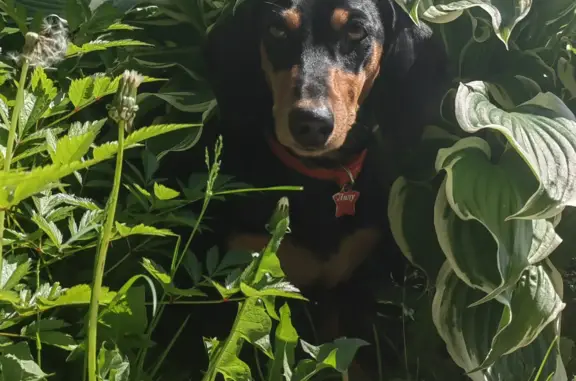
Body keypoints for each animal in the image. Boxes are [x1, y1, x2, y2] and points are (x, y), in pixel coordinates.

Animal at [173, 0, 448, 376]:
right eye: (276, 30)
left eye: (356, 30)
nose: (311, 123)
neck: (315, 181)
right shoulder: (232, 286)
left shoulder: (349, 291)